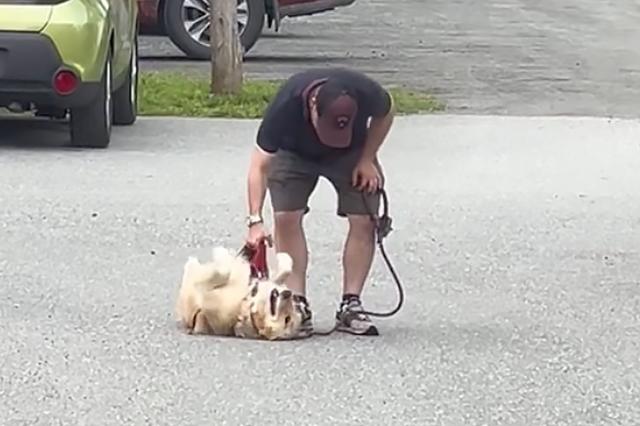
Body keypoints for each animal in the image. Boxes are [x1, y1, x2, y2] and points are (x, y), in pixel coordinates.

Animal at [175, 246, 304, 340]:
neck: (248, 302)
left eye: (287, 319)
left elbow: (222, 272)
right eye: (294, 304)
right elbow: (285, 269)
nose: (288, 293)